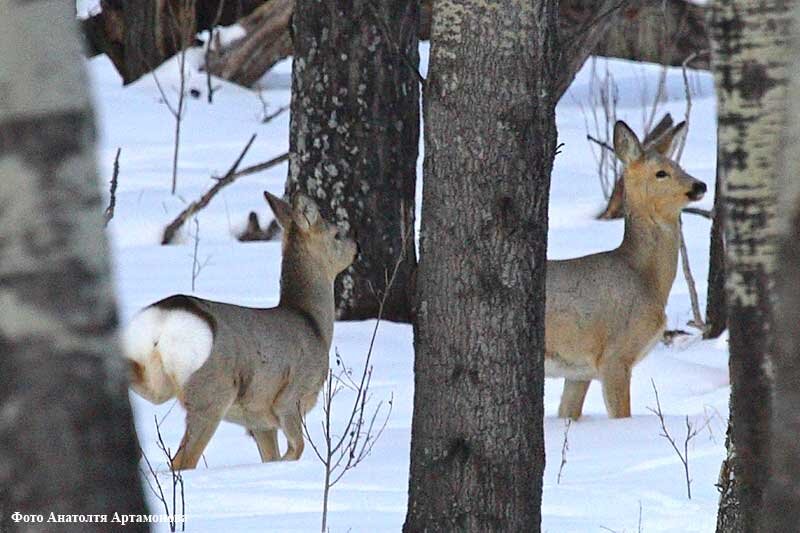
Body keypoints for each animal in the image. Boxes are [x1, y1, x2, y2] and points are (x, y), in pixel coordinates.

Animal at [124, 191, 356, 470]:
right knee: (182, 461)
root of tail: (164, 321)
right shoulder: (291, 396)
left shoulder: (259, 420)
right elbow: (296, 449)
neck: (312, 322)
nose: (356, 245)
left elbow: (271, 456)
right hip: (211, 393)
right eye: (336, 233)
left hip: (156, 380)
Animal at [548, 120, 708, 420]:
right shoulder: (615, 355)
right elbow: (622, 415)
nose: (700, 185)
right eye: (661, 173)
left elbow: (567, 414)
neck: (643, 276)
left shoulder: (578, 371)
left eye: (678, 165)